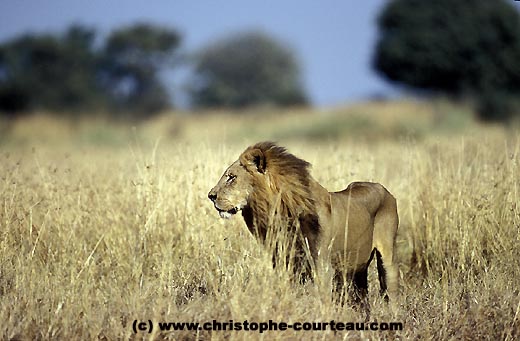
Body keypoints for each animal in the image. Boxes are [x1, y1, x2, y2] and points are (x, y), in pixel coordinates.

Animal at [207, 142, 398, 302]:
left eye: (231, 177)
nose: (211, 196)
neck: (277, 212)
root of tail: (384, 189)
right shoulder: (284, 262)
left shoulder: (322, 265)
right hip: (358, 267)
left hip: (387, 260)